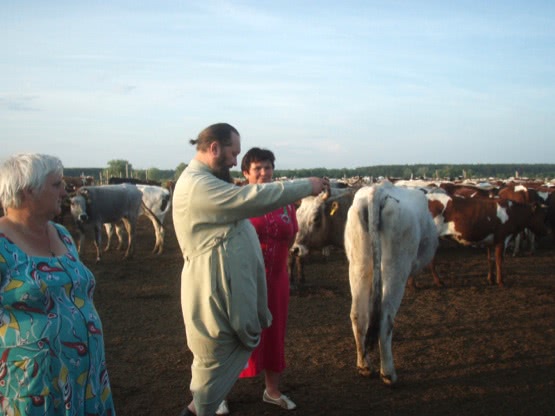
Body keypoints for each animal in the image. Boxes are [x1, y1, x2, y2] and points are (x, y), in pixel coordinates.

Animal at [345, 181, 438, 385]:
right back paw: (388, 374)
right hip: (396, 267)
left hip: (359, 264)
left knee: (358, 314)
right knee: (385, 318)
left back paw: (364, 366)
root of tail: (378, 191)